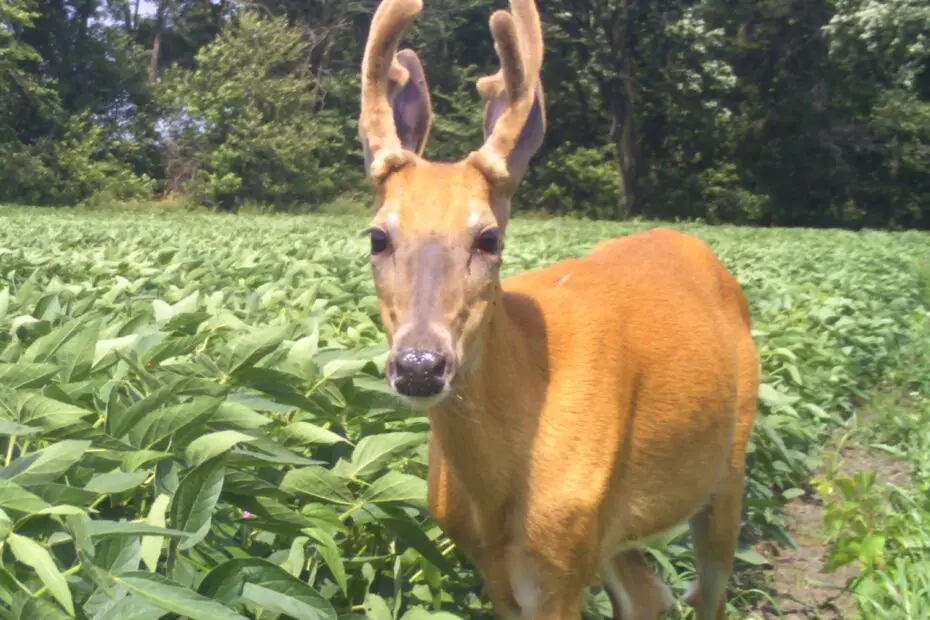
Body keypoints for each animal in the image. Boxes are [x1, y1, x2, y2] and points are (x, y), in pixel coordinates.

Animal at [358, 0, 760, 616]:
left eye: (489, 238)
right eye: (378, 237)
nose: (420, 365)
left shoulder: (562, 562)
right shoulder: (496, 563)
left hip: (728, 470)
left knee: (707, 591)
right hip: (618, 526)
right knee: (650, 596)